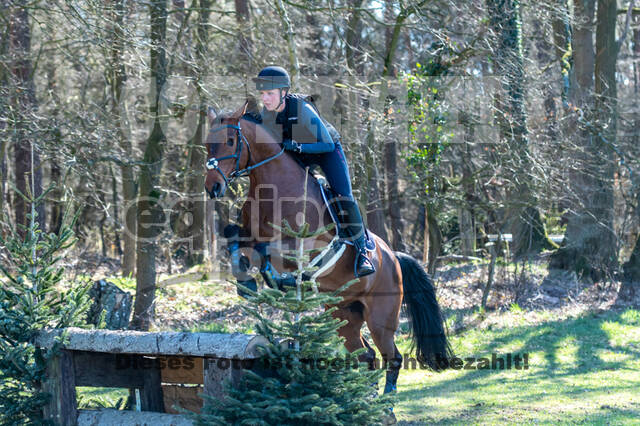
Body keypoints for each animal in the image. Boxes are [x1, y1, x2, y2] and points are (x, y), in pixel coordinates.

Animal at [202, 100, 452, 412]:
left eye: (230, 141)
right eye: (207, 144)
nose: (212, 187)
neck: (274, 188)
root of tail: (393, 256)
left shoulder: (301, 246)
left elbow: (268, 252)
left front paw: (276, 280)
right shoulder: (247, 232)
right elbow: (234, 235)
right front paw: (247, 283)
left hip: (381, 316)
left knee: (391, 356)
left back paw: (386, 403)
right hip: (343, 311)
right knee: (365, 356)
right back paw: (364, 400)